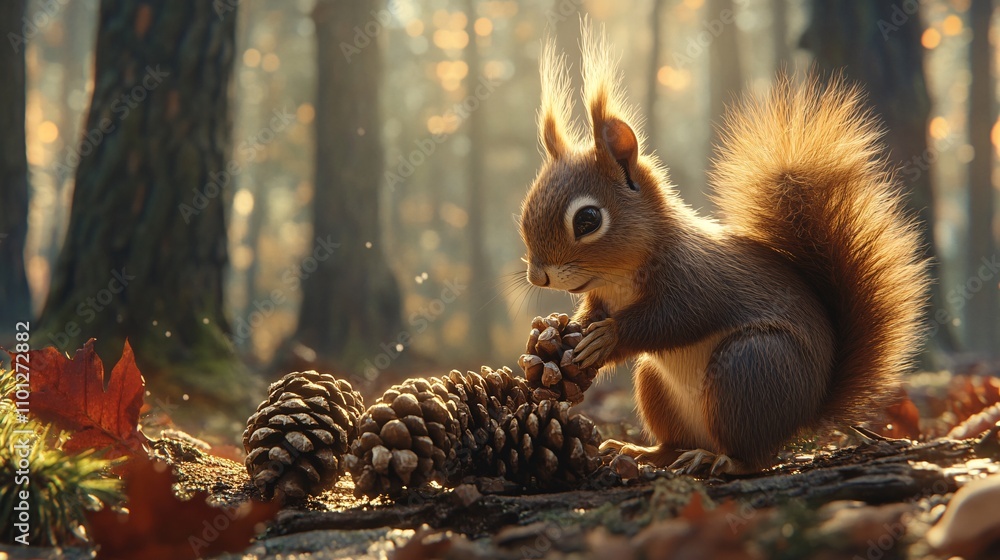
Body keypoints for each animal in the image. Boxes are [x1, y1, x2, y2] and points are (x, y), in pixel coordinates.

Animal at [517, 27, 928, 475]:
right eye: (525, 208)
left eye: (588, 220)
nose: (538, 276)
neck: (619, 279)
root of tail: (807, 413)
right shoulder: (600, 297)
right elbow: (589, 316)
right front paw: (553, 338)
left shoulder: (696, 278)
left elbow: (676, 318)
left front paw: (607, 337)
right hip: (655, 383)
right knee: (675, 442)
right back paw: (644, 452)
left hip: (748, 371)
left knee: (755, 455)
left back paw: (721, 460)